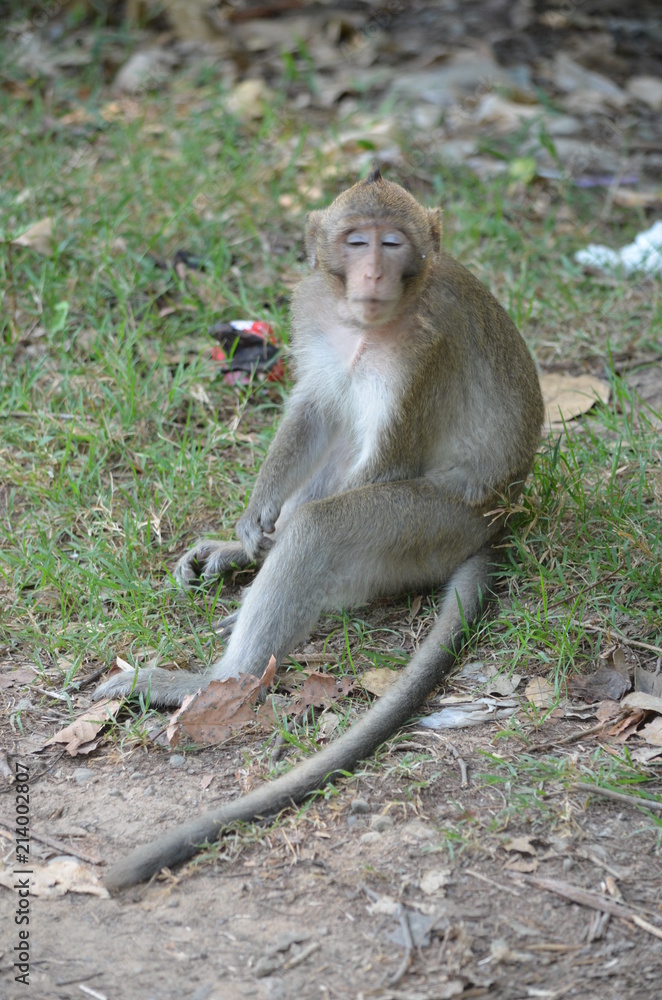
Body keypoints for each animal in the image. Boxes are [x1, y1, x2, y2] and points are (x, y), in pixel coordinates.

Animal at [97, 166, 544, 892]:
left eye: (393, 242)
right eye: (356, 240)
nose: (372, 273)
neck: (368, 326)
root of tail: (495, 525)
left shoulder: (427, 350)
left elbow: (382, 460)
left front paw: (269, 546)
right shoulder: (315, 315)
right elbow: (316, 407)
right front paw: (247, 530)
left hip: (431, 527)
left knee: (325, 525)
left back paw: (207, 681)